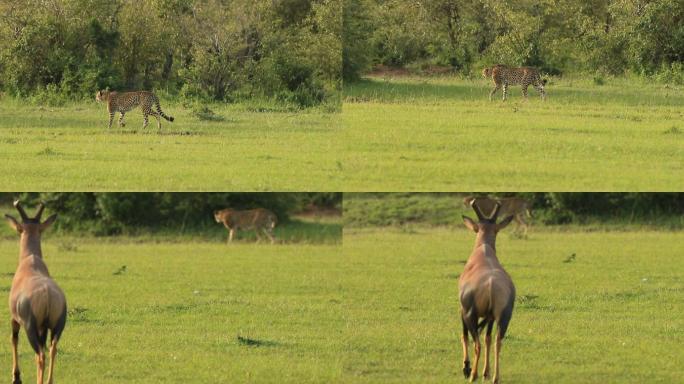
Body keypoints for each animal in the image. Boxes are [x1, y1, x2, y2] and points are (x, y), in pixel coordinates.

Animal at [5, 202, 66, 382]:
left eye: (20, 230)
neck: (30, 262)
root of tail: (47, 294)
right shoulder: (44, 328)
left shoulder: (14, 319)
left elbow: (14, 339)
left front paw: (16, 377)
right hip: (57, 326)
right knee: (52, 349)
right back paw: (49, 381)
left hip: (30, 327)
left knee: (40, 355)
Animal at [456, 202, 516, 382]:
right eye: (495, 230)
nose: (468, 370)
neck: (483, 251)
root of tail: (490, 285)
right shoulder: (490, 317)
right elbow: (488, 338)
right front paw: (486, 372)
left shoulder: (462, 310)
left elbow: (464, 336)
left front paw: (466, 368)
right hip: (504, 317)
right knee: (497, 341)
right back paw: (495, 377)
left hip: (471, 314)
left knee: (477, 343)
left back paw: (472, 375)